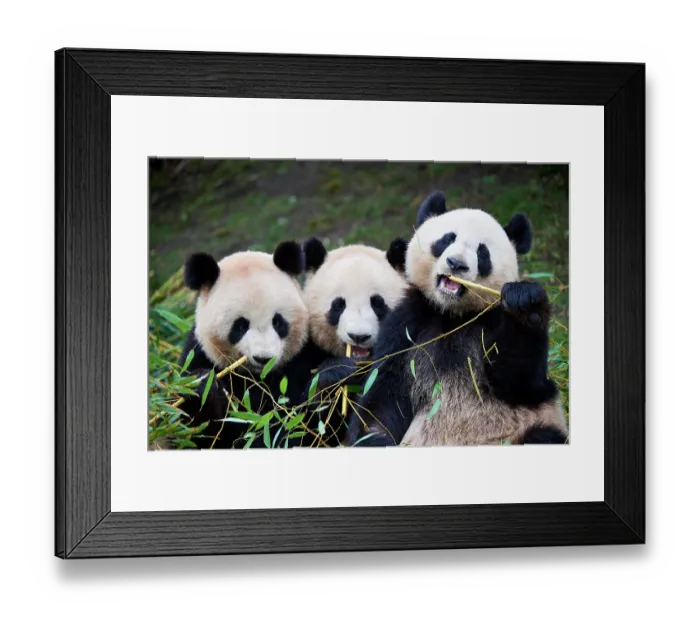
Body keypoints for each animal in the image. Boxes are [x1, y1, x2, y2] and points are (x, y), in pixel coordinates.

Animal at [175, 240, 330, 449]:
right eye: (240, 326)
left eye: (277, 321)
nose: (264, 358)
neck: (260, 377)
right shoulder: (199, 354)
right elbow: (196, 433)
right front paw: (202, 384)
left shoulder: (307, 352)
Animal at [346, 191, 569, 447]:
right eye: (446, 239)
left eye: (482, 252)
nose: (456, 264)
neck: (453, 314)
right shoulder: (408, 325)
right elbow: (385, 390)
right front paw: (374, 438)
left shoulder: (491, 320)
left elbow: (521, 383)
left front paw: (526, 307)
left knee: (543, 435)